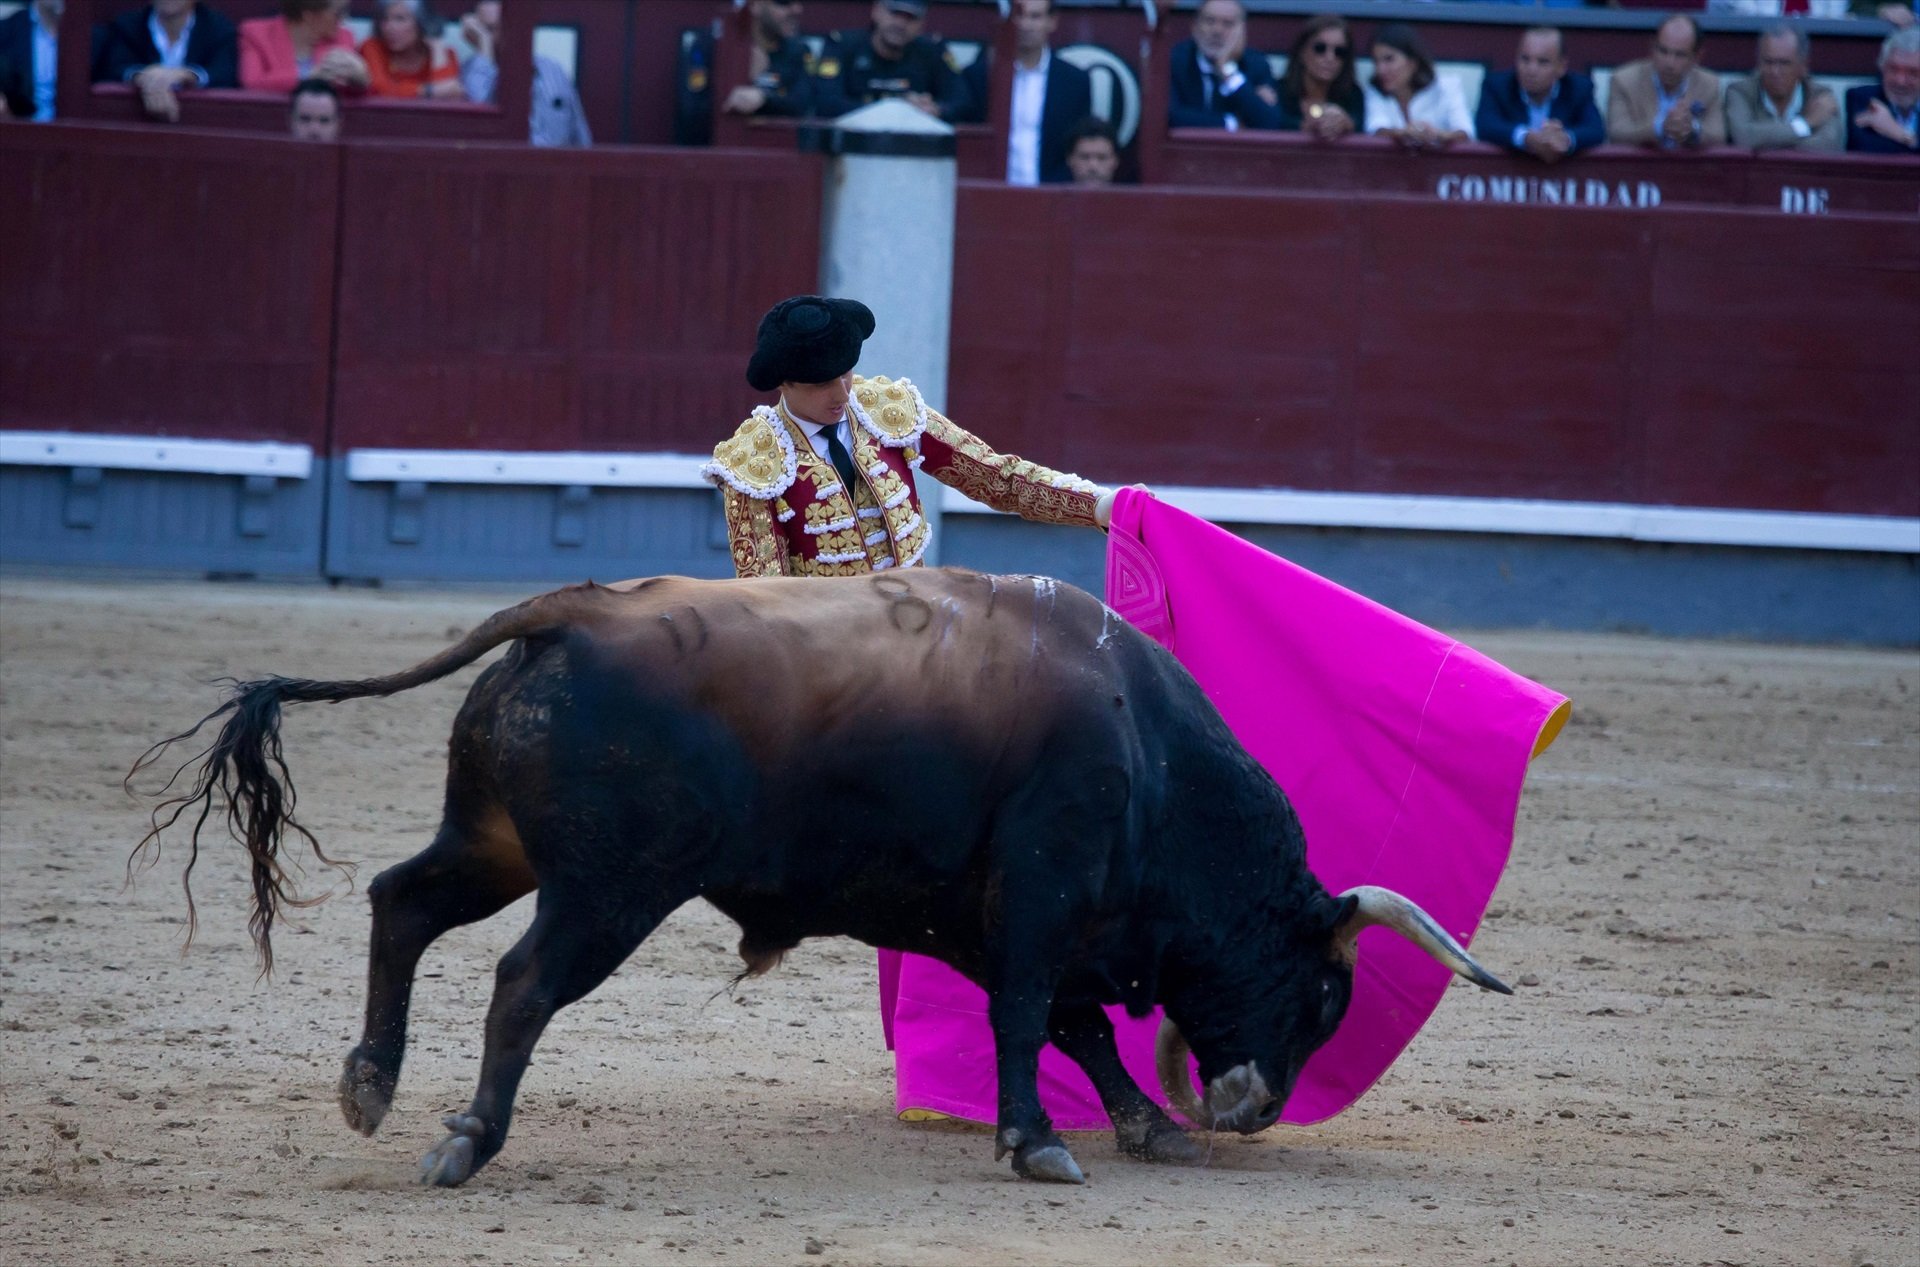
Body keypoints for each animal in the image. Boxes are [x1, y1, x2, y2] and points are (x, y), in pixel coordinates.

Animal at [135, 568, 1512, 1182]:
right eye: (1324, 995)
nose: (1254, 1106)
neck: (1147, 752)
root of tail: (570, 612)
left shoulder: (1006, 915)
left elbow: (1072, 1022)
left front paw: (1134, 1122)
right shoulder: (1046, 890)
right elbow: (1036, 1018)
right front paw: (1038, 1145)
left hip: (495, 842)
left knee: (403, 903)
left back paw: (370, 1085)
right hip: (609, 889)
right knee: (521, 983)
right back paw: (466, 1141)